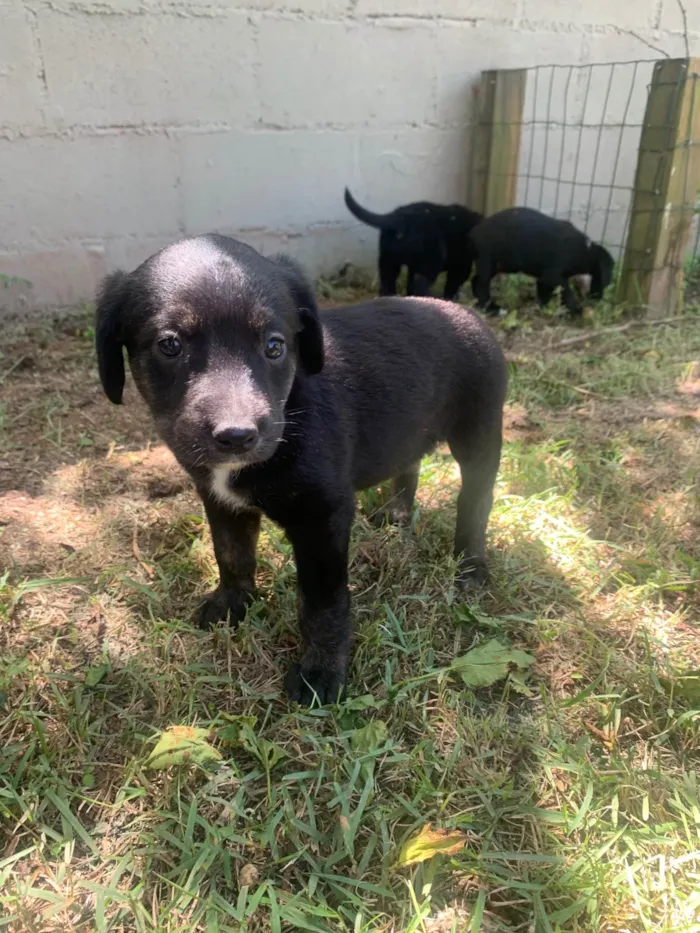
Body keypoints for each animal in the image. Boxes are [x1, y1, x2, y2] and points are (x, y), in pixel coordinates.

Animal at [94, 235, 508, 708]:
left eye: (275, 346)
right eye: (170, 345)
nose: (237, 436)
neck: (292, 405)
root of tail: (465, 314)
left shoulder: (322, 518)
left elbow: (321, 601)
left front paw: (321, 673)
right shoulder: (220, 500)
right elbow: (231, 554)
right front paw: (232, 604)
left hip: (479, 432)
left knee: (476, 500)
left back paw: (471, 566)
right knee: (410, 465)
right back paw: (397, 517)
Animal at [344, 189, 484, 302]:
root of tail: (400, 217)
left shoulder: (413, 266)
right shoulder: (462, 265)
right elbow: (452, 284)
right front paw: (450, 299)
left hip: (388, 260)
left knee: (388, 281)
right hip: (431, 261)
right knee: (420, 282)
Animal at [468, 206, 616, 314]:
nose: (596, 302)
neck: (586, 251)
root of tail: (474, 232)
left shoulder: (544, 278)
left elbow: (543, 292)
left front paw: (546, 308)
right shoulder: (553, 275)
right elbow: (566, 292)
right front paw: (575, 310)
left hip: (501, 265)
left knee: (476, 280)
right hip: (488, 261)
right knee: (482, 285)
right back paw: (490, 308)